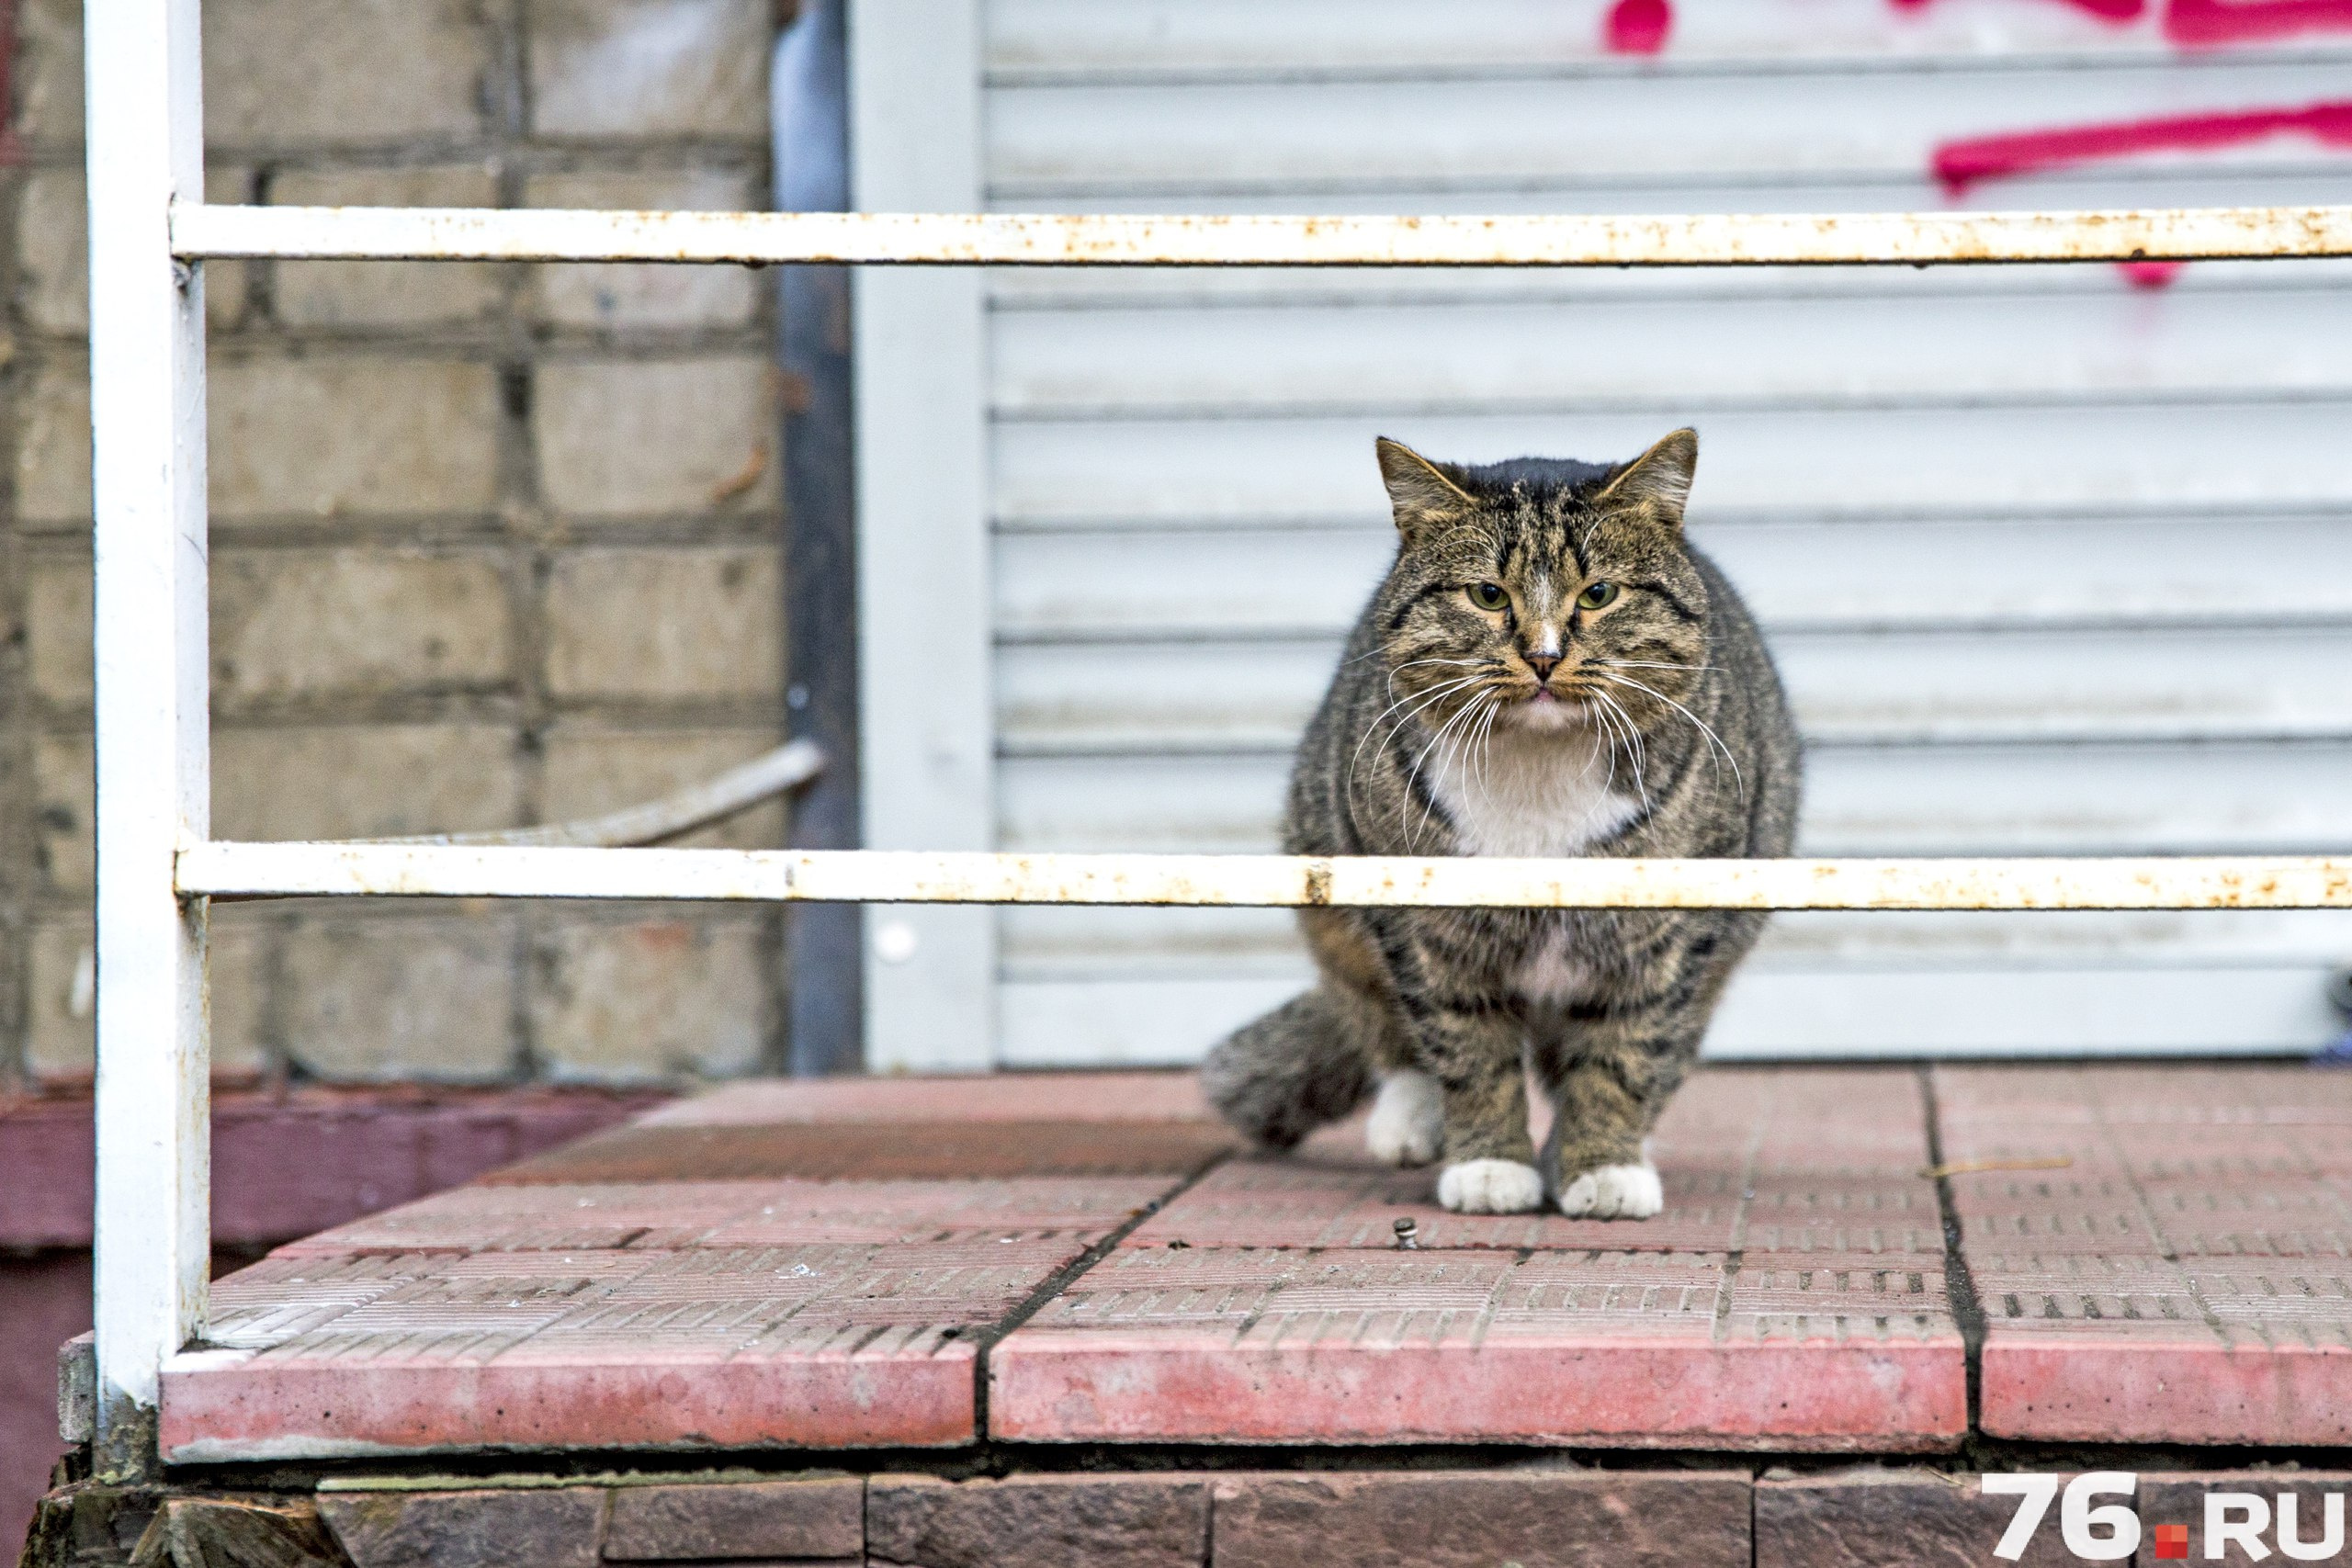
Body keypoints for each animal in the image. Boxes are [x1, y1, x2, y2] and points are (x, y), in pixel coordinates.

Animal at [1204, 432, 1806, 1222]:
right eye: (1488, 594)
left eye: (1599, 593)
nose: (1544, 655)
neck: (1539, 771)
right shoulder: (1424, 927)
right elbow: (1467, 1049)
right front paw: (1490, 1164)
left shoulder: (1671, 934)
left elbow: (1625, 1054)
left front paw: (1602, 1166)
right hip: (1330, 880)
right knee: (1378, 1020)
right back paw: (1411, 1121)